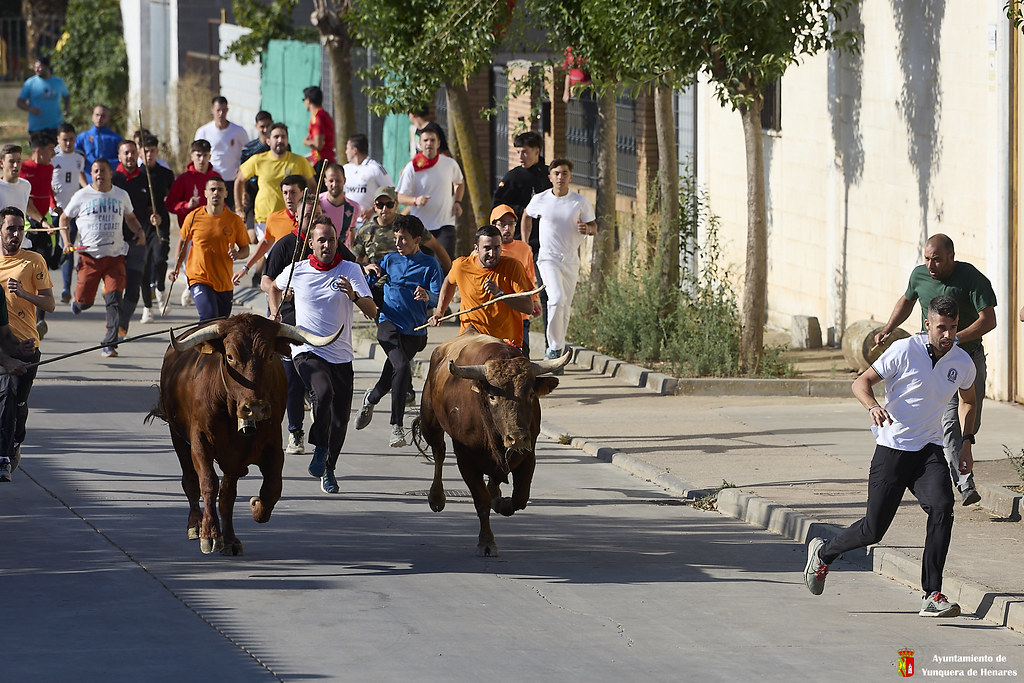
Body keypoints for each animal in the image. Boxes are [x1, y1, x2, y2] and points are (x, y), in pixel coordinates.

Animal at [148, 313, 339, 557]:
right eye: (230, 356)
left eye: (269, 356)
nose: (254, 407)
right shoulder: (200, 442)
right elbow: (208, 483)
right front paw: (210, 534)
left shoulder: (270, 447)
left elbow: (271, 488)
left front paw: (256, 507)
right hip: (178, 437)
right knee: (190, 481)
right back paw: (196, 525)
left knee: (227, 495)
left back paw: (230, 540)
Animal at [413, 327, 569, 557]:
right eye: (493, 396)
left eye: (531, 394)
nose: (517, 437)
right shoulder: (465, 459)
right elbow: (481, 501)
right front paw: (486, 542)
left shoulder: (528, 455)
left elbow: (520, 497)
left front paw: (502, 504)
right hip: (429, 421)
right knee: (439, 452)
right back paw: (436, 497)